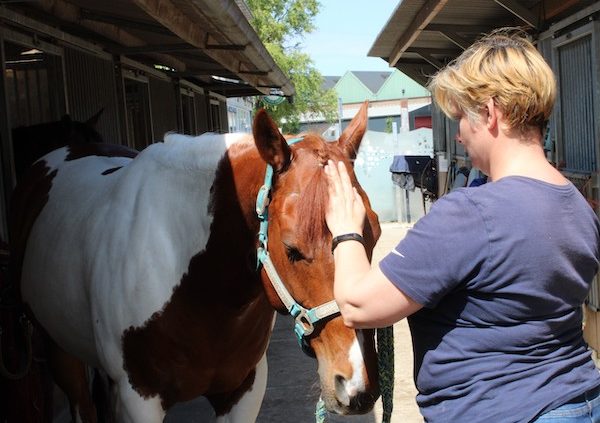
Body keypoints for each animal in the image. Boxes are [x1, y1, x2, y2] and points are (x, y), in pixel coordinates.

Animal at [10, 101, 380, 422]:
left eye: (374, 232)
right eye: (291, 249)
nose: (357, 387)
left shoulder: (243, 391)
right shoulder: (137, 400)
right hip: (59, 351)